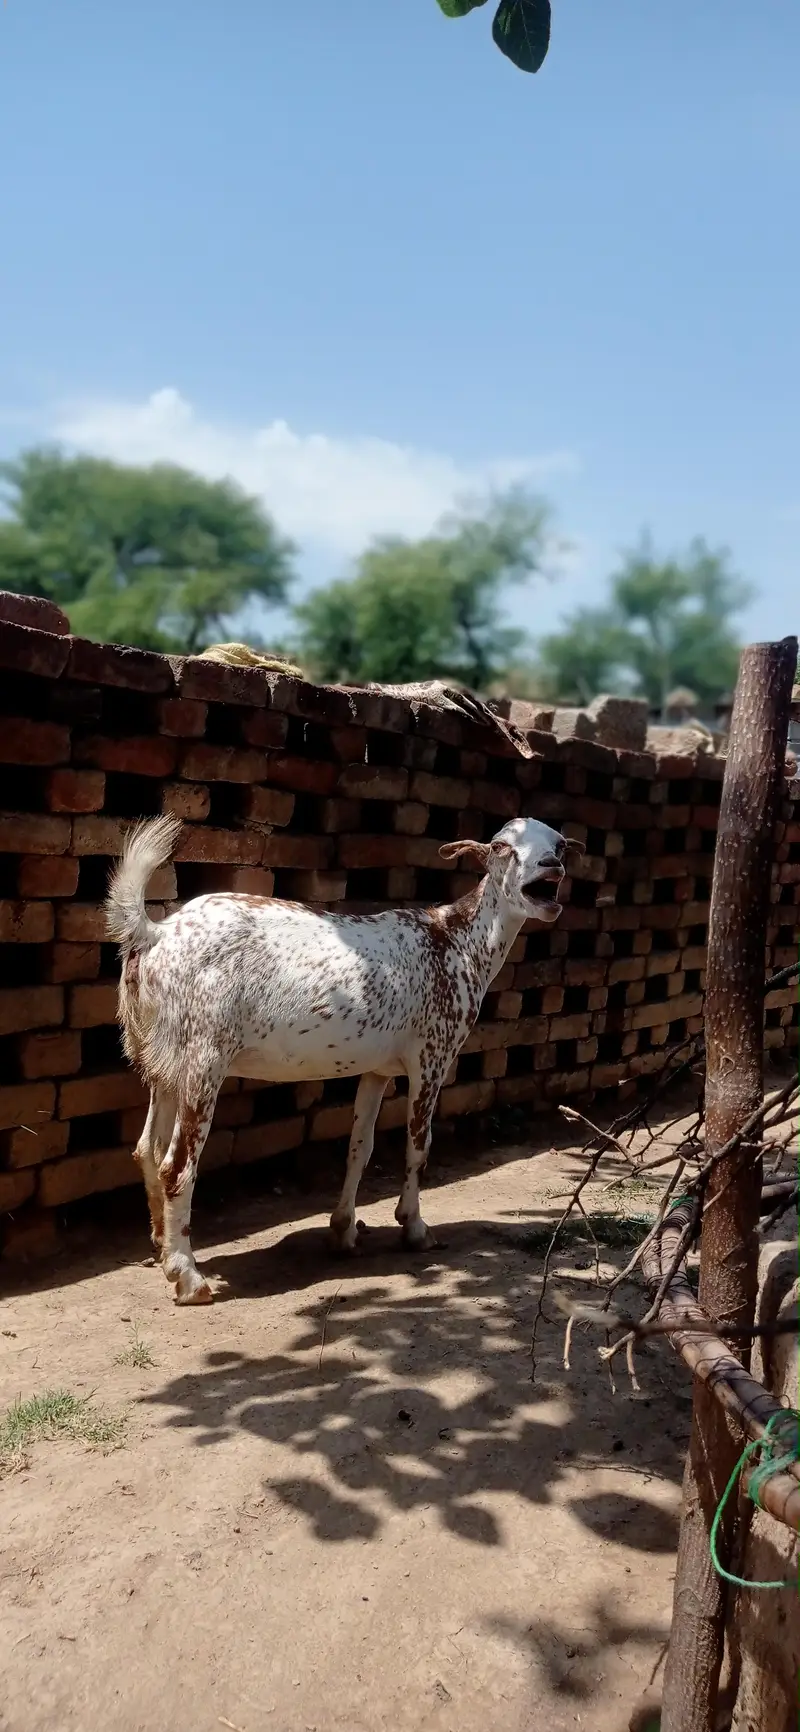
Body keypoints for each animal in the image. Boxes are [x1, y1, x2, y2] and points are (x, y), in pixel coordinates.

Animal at [106, 813, 581, 1304]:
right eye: (503, 847)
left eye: (561, 845)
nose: (550, 867)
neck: (457, 941)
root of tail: (155, 933)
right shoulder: (432, 1054)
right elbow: (418, 1145)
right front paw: (414, 1227)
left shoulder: (376, 1070)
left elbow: (360, 1146)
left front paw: (344, 1231)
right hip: (203, 1056)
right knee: (177, 1165)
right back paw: (188, 1275)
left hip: (161, 1059)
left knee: (146, 1148)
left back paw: (162, 1244)